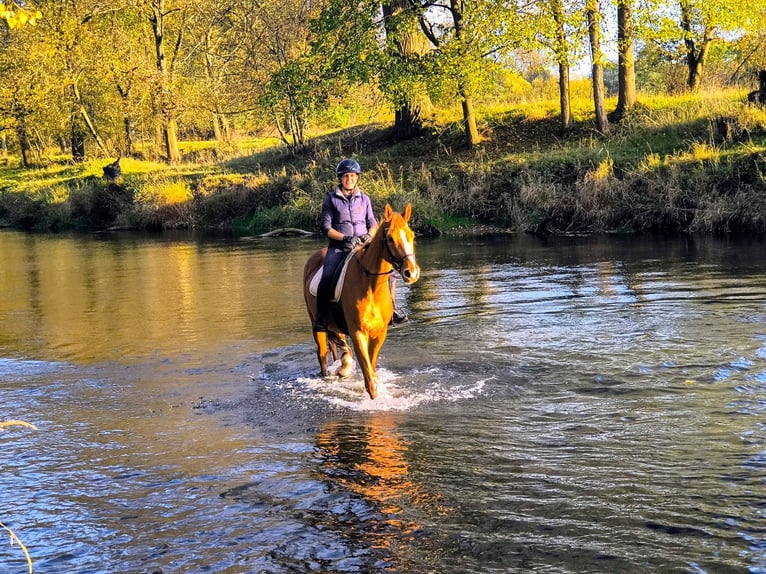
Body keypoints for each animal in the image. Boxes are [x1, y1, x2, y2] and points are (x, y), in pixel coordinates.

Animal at [302, 203, 420, 399]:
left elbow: (371, 368)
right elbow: (369, 378)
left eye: (411, 236)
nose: (411, 272)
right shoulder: (358, 333)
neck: (370, 286)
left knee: (341, 346)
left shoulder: (379, 334)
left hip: (336, 326)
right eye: (390, 238)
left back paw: (344, 366)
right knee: (322, 356)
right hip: (317, 325)